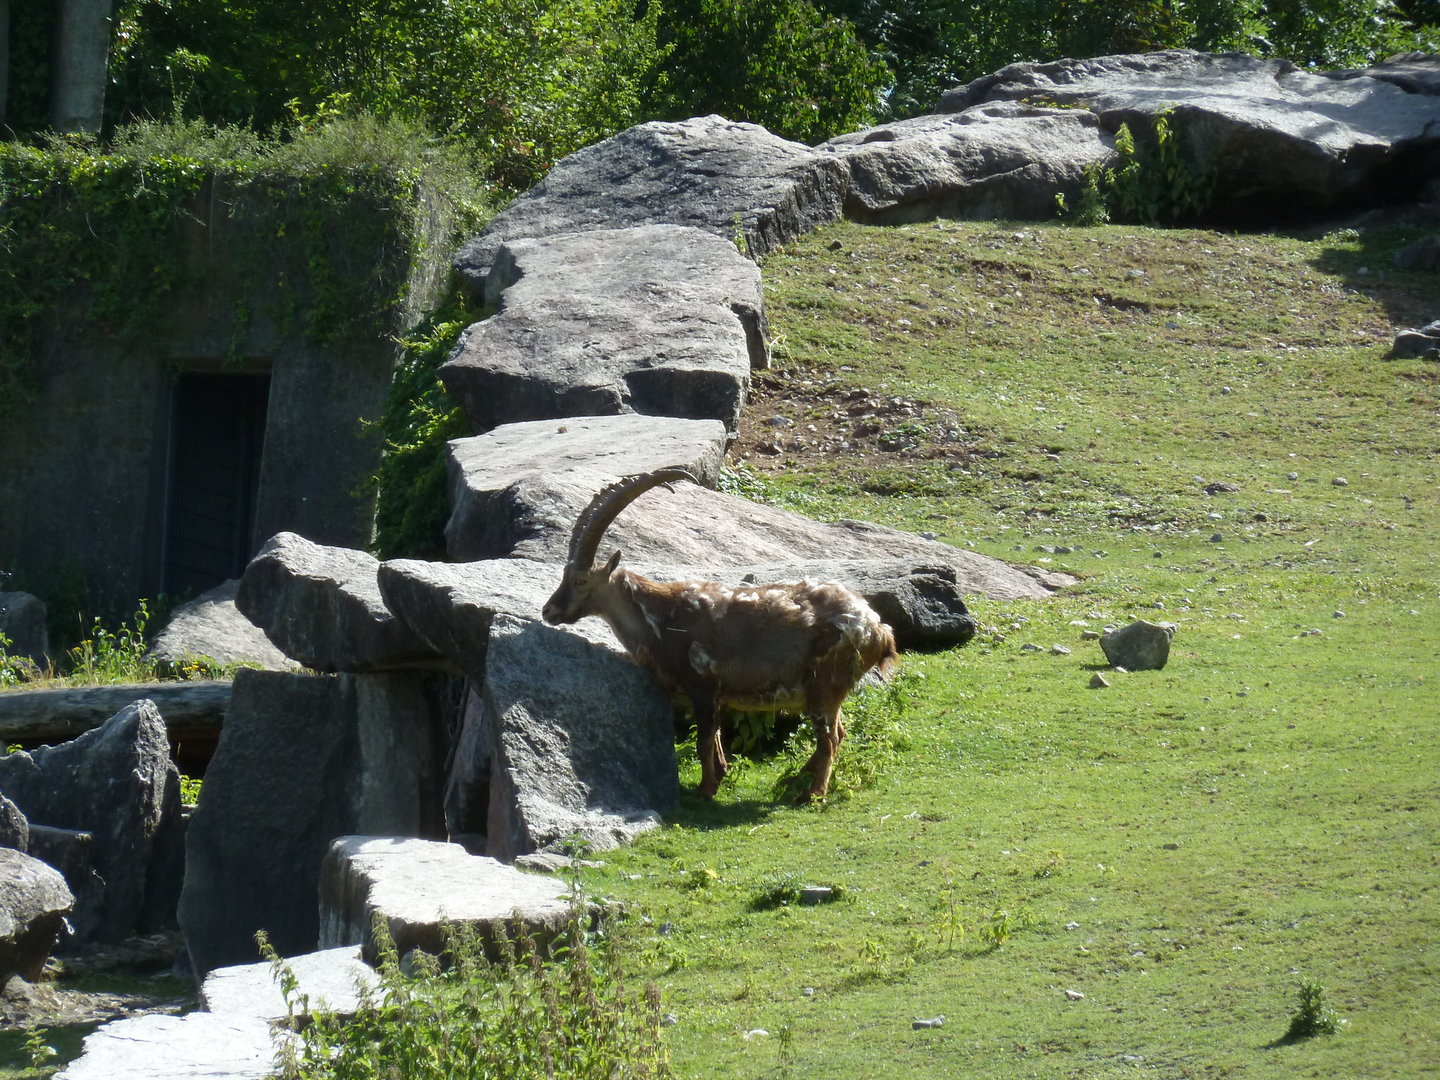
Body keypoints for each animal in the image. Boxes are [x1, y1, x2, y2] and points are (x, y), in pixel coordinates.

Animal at [541, 467, 899, 803]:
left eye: (580, 581)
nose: (548, 611)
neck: (659, 618)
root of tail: (879, 629)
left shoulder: (702, 686)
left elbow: (702, 741)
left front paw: (706, 789)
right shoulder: (715, 695)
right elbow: (714, 738)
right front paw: (722, 774)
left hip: (824, 685)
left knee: (830, 738)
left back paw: (812, 793)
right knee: (840, 731)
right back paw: (800, 776)